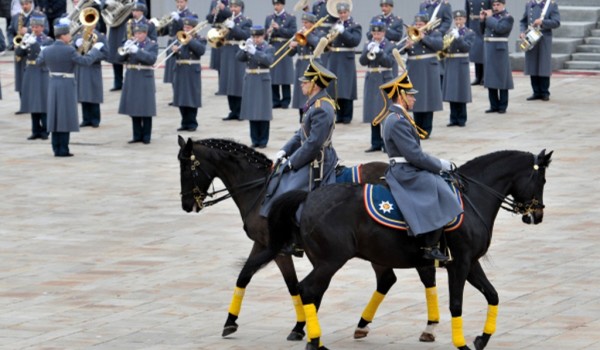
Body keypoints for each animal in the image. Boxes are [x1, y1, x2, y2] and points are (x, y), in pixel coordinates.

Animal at [178, 136, 446, 342]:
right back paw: (365, 325)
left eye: (188, 169)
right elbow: (245, 275)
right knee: (388, 279)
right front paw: (230, 321)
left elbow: (292, 285)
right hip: (377, 248)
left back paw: (427, 326)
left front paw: (300, 326)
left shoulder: (280, 250)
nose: (186, 204)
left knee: (414, 275)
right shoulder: (263, 244)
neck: (261, 190)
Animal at [243, 149, 552, 348]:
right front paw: (462, 343)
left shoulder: (470, 263)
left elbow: (493, 295)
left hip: (333, 261)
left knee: (315, 291)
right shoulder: (460, 263)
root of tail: (308, 197)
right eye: (542, 180)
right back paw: (314, 340)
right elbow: (456, 304)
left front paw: (481, 338)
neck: (472, 197)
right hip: (330, 261)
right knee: (308, 290)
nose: (537, 215)